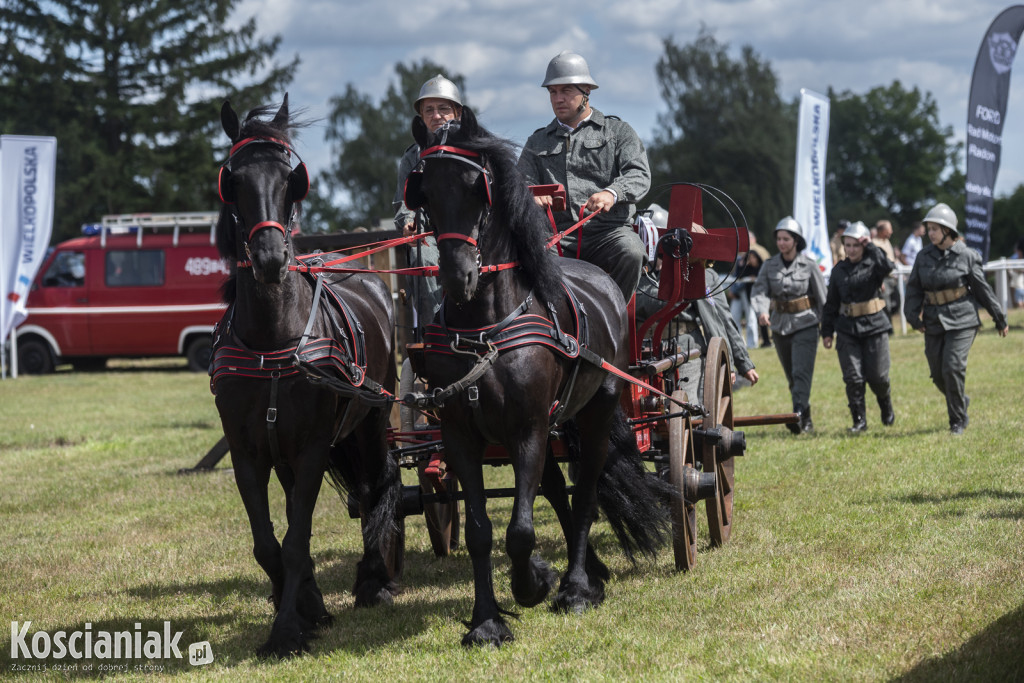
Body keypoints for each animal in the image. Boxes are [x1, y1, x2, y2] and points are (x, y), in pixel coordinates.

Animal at [210, 96, 399, 655]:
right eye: (233, 179)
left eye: (290, 178)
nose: (271, 259)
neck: (274, 340)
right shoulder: (248, 451)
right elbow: (268, 543)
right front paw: (305, 610)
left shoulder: (314, 445)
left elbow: (295, 541)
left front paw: (286, 632)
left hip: (371, 418)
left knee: (377, 484)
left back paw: (374, 581)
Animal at [407, 111, 671, 647]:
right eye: (424, 192)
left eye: (478, 188)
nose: (457, 278)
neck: (486, 330)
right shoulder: (461, 435)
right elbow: (482, 531)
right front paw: (487, 621)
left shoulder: (526, 428)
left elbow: (522, 531)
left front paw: (536, 583)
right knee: (554, 489)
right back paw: (588, 570)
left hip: (595, 412)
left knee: (585, 494)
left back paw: (578, 587)